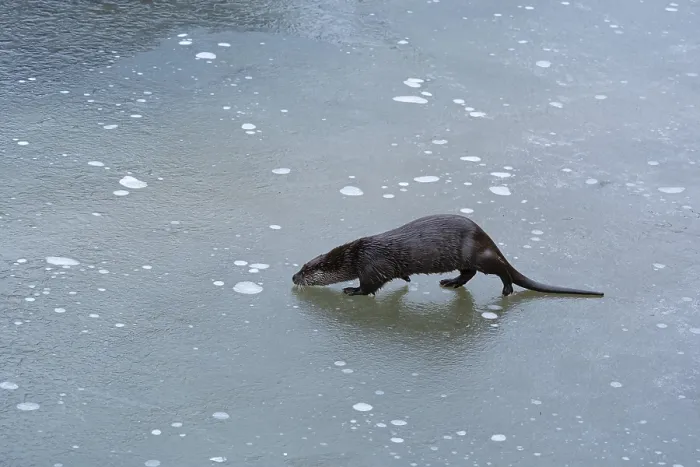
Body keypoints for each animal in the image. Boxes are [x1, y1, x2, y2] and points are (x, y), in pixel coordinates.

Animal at [291, 214, 604, 297]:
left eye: (306, 271)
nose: (293, 277)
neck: (356, 256)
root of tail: (486, 237)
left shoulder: (371, 265)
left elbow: (369, 286)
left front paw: (351, 290)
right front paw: (406, 280)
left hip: (479, 255)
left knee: (499, 270)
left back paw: (506, 290)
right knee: (469, 273)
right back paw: (450, 283)